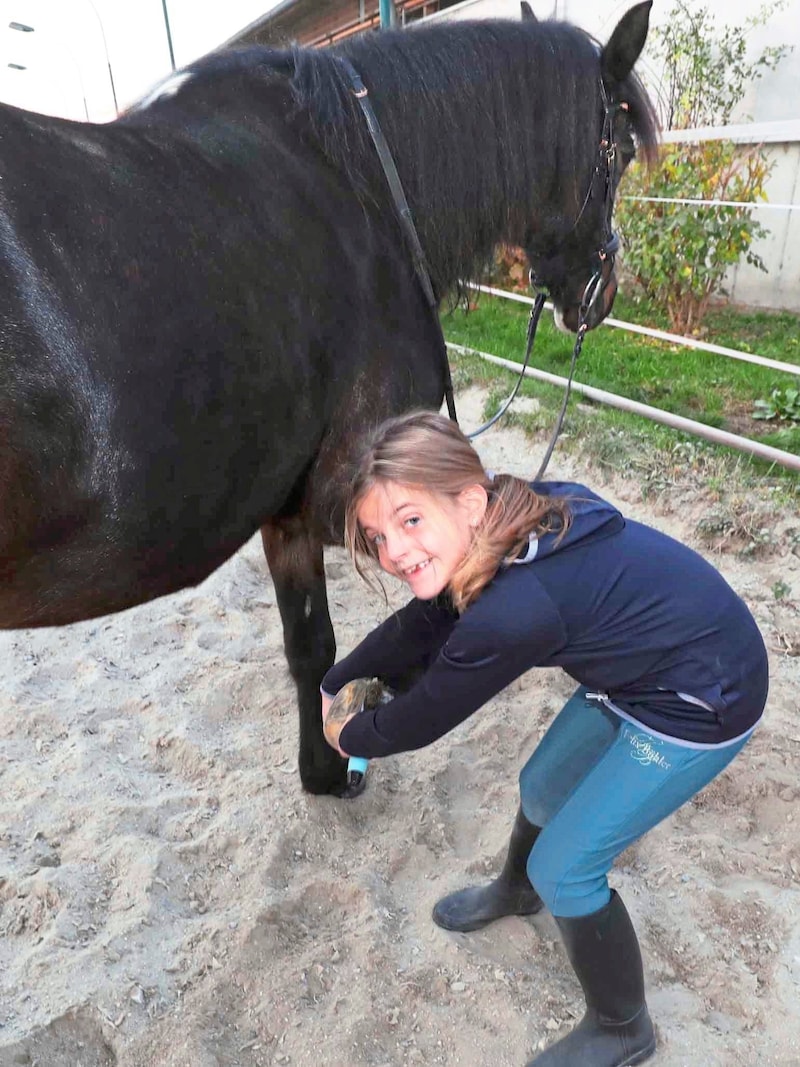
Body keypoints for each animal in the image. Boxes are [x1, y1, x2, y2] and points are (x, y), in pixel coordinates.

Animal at [0, 6, 657, 793]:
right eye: (622, 153)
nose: (601, 297)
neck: (365, 187)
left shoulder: (287, 507)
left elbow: (308, 642)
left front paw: (322, 767)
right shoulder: (352, 488)